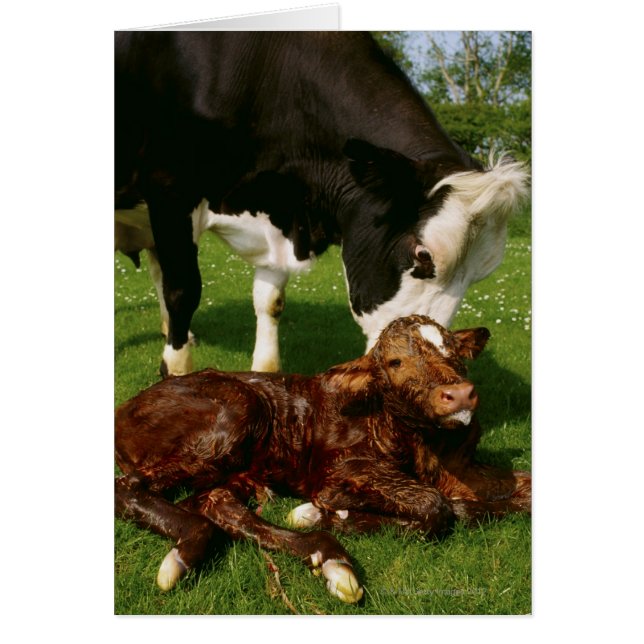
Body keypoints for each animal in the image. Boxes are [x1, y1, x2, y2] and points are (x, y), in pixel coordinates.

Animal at [115, 31, 529, 376]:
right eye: (423, 255)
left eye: (478, 275)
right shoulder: (171, 190)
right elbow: (183, 291)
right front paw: (176, 374)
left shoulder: (276, 218)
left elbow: (270, 300)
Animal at [115, 314, 531, 603]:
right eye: (395, 362)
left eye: (455, 353)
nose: (458, 394)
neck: (428, 445)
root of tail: (125, 409)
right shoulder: (337, 472)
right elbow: (435, 505)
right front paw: (331, 513)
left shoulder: (463, 467)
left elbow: (524, 488)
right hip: (234, 415)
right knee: (131, 486)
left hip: (240, 466)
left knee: (217, 504)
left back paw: (329, 558)